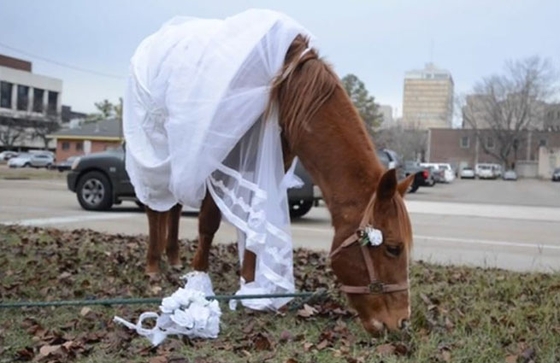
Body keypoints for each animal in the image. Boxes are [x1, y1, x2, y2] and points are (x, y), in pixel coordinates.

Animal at [143, 37, 416, 336]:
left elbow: (255, 220)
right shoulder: (219, 161)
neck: (288, 87)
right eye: (393, 248)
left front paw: (251, 290)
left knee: (173, 208)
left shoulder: (272, 162)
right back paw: (153, 265)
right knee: (154, 207)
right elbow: (208, 223)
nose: (402, 321)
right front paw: (200, 284)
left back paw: (172, 257)